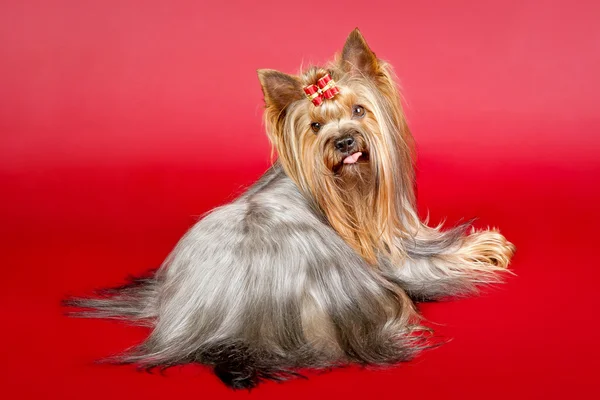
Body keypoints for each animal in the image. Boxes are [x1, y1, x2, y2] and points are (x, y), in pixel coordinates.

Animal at [65, 28, 516, 390]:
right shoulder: (390, 255)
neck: (347, 190)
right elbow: (439, 259)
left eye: (359, 110)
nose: (344, 141)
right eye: (315, 126)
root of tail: (226, 323)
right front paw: (488, 247)